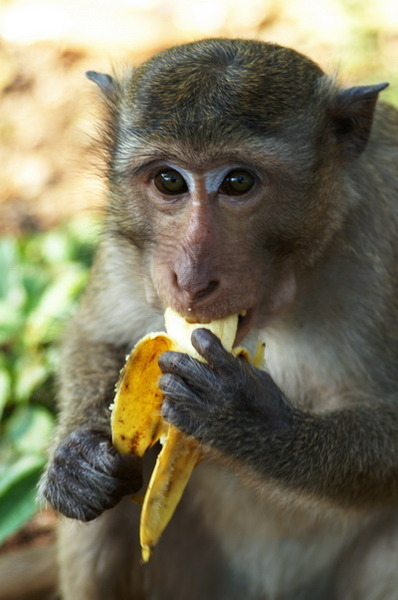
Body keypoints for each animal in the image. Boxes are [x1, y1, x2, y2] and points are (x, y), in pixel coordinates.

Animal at [39, 38, 398, 600]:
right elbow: (94, 336)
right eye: (168, 180)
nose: (190, 278)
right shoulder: (128, 247)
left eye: (238, 181)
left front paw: (253, 423)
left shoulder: (386, 222)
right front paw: (76, 458)